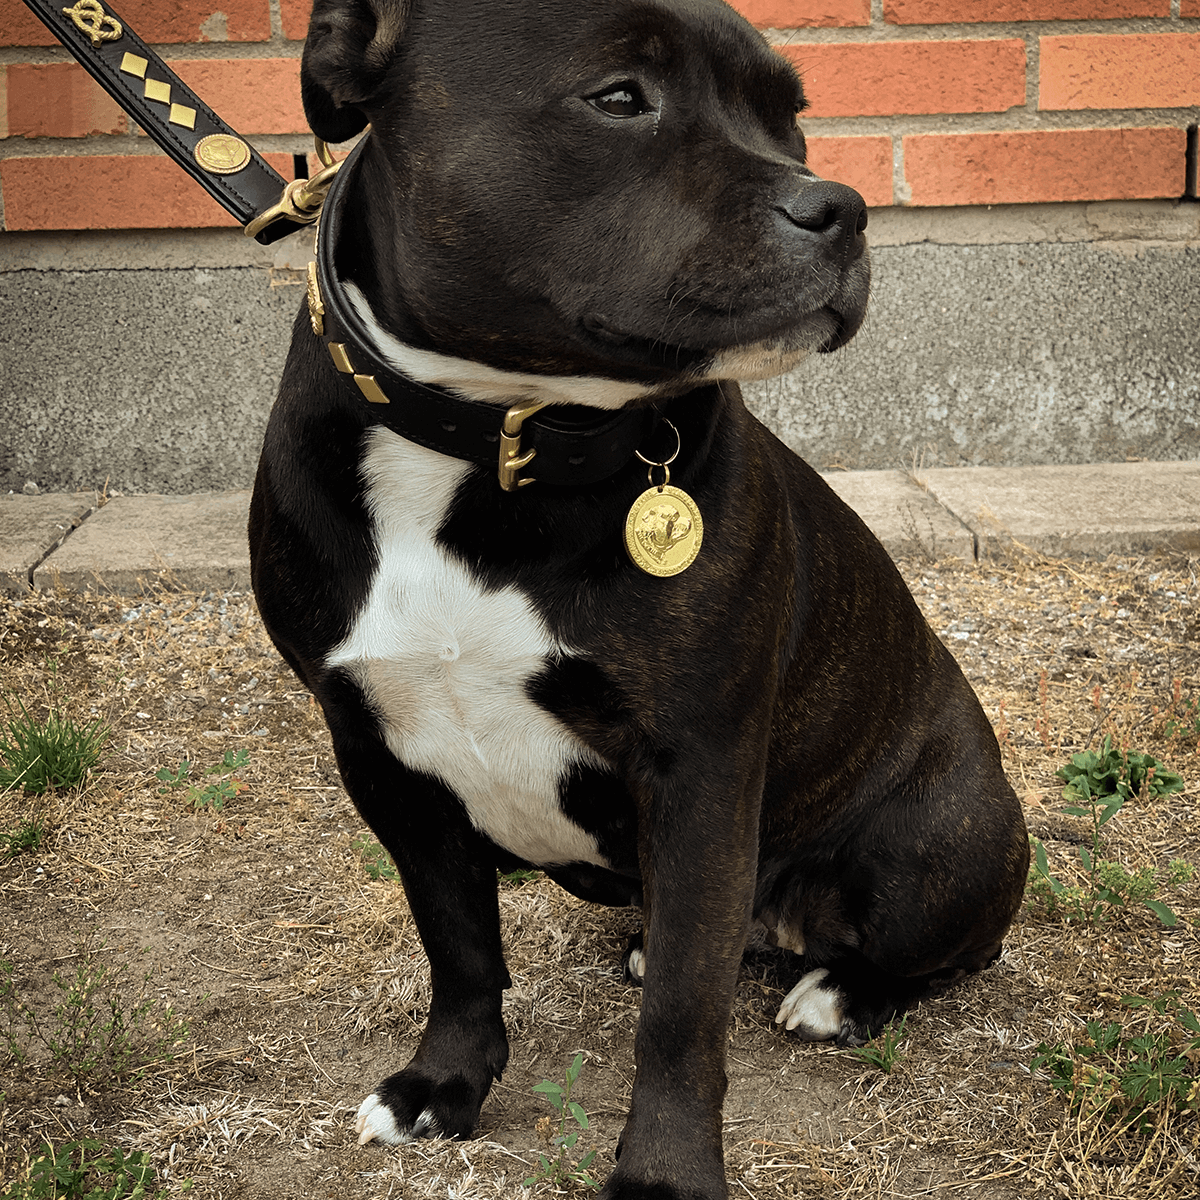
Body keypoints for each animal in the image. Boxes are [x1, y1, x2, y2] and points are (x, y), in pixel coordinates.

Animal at [246, 4, 1032, 1195]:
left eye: (789, 114)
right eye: (619, 98)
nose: (840, 206)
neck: (493, 440)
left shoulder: (698, 768)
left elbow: (681, 1016)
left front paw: (663, 1173)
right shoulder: (383, 761)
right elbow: (458, 941)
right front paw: (444, 1085)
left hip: (942, 845)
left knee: (942, 951)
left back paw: (842, 993)